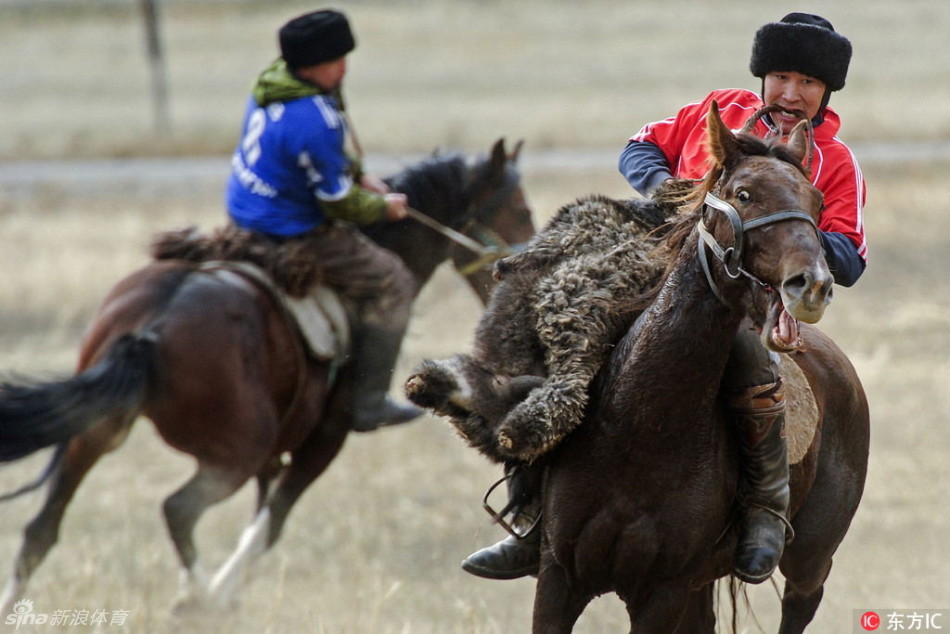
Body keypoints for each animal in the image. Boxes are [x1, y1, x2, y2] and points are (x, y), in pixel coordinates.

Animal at [0, 137, 536, 608]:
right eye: (519, 210)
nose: (519, 278)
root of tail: (153, 324)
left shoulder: (276, 449)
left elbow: (260, 518)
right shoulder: (323, 438)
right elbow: (271, 522)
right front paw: (221, 595)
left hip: (95, 434)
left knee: (40, 532)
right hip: (236, 451)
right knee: (178, 510)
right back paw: (200, 600)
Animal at [536, 106, 872, 628]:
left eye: (816, 202)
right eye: (743, 194)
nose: (813, 286)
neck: (640, 427)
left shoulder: (662, 591)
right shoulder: (557, 577)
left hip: (809, 561)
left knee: (801, 600)